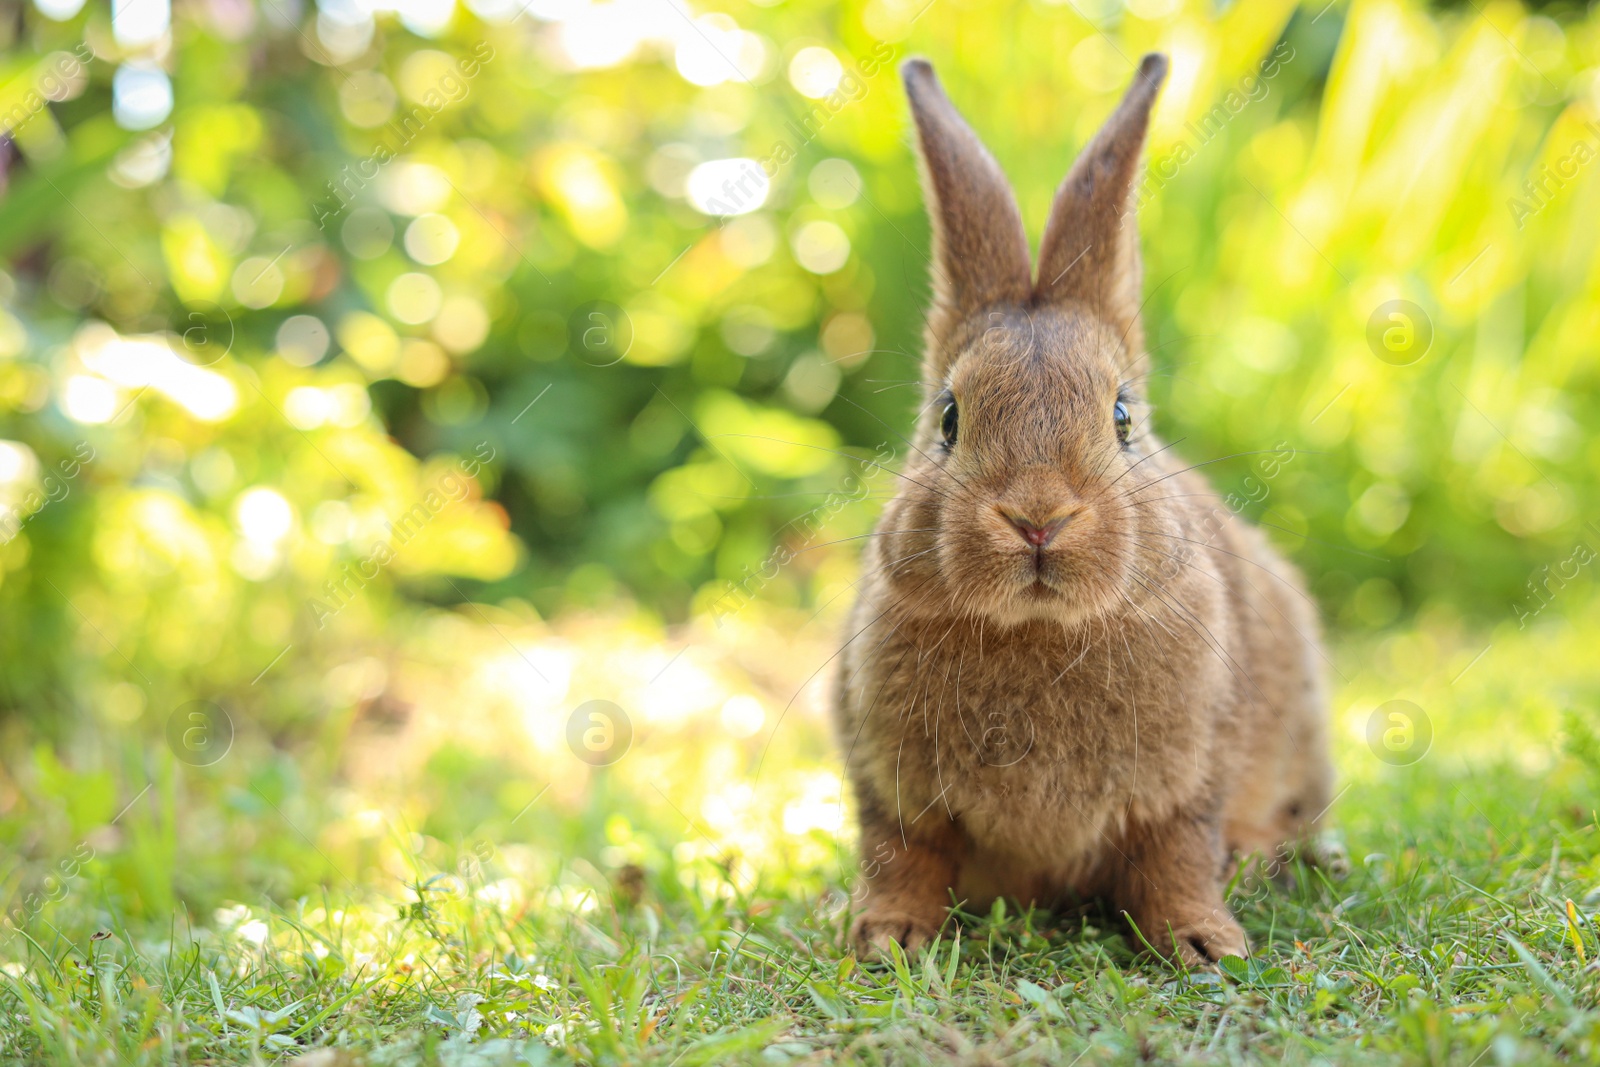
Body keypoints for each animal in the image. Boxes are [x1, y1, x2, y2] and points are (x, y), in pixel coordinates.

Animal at [838, 51, 1337, 966]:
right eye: (950, 418)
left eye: (1122, 416)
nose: (1038, 516)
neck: (1040, 630)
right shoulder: (892, 788)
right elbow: (902, 857)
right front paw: (887, 939)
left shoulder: (1185, 788)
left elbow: (1177, 860)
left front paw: (1207, 944)